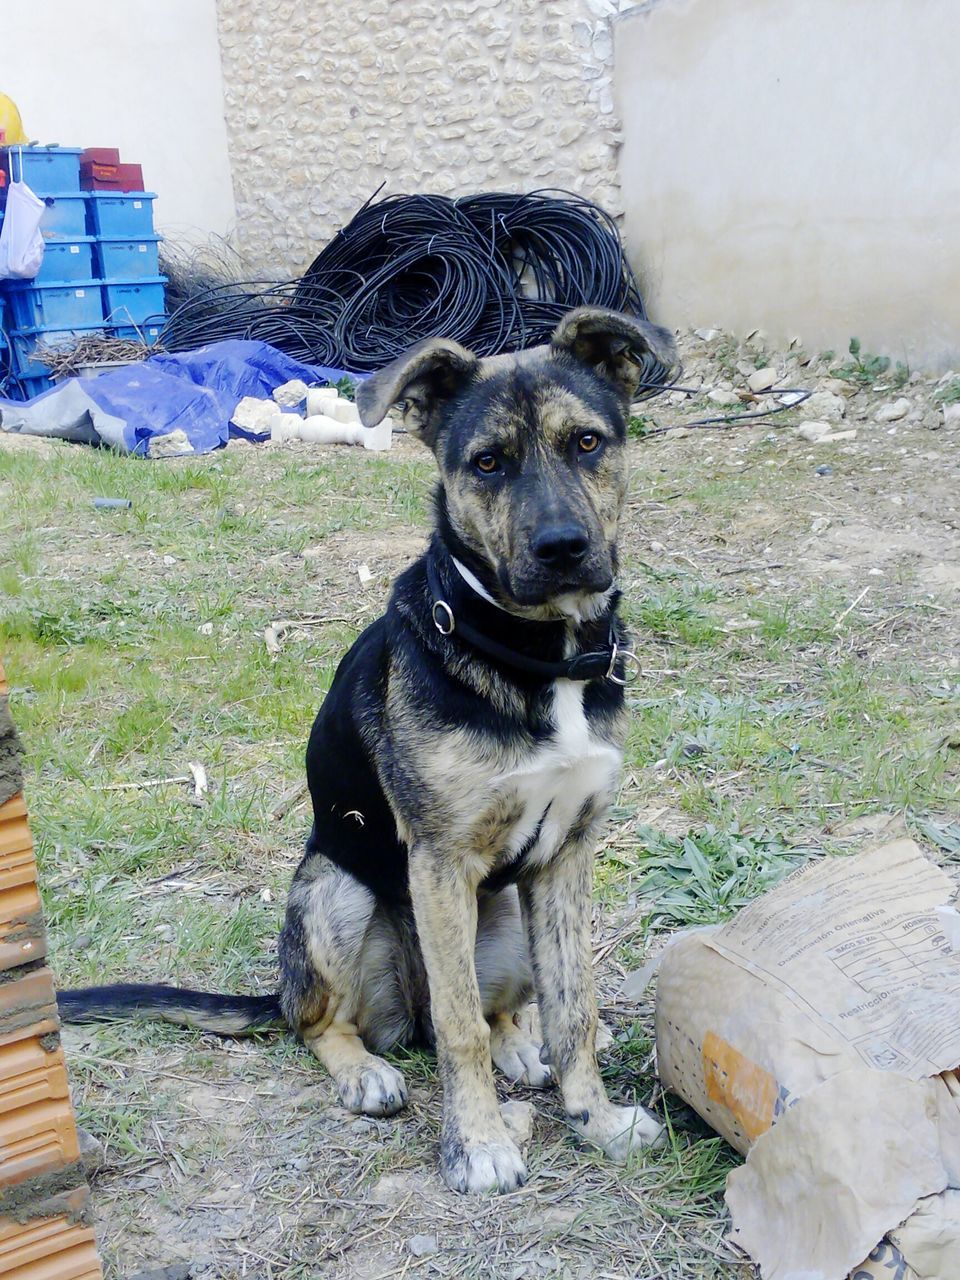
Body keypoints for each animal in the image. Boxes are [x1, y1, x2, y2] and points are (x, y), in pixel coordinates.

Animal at [58, 304, 675, 1192]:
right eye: (487, 462)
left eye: (587, 442)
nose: (562, 547)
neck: (535, 658)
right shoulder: (441, 860)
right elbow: (459, 1026)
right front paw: (477, 1145)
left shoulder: (568, 854)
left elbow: (574, 1007)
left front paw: (595, 1119)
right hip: (333, 893)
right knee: (323, 1021)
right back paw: (366, 1071)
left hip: (506, 916)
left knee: (500, 1008)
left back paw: (520, 1045)